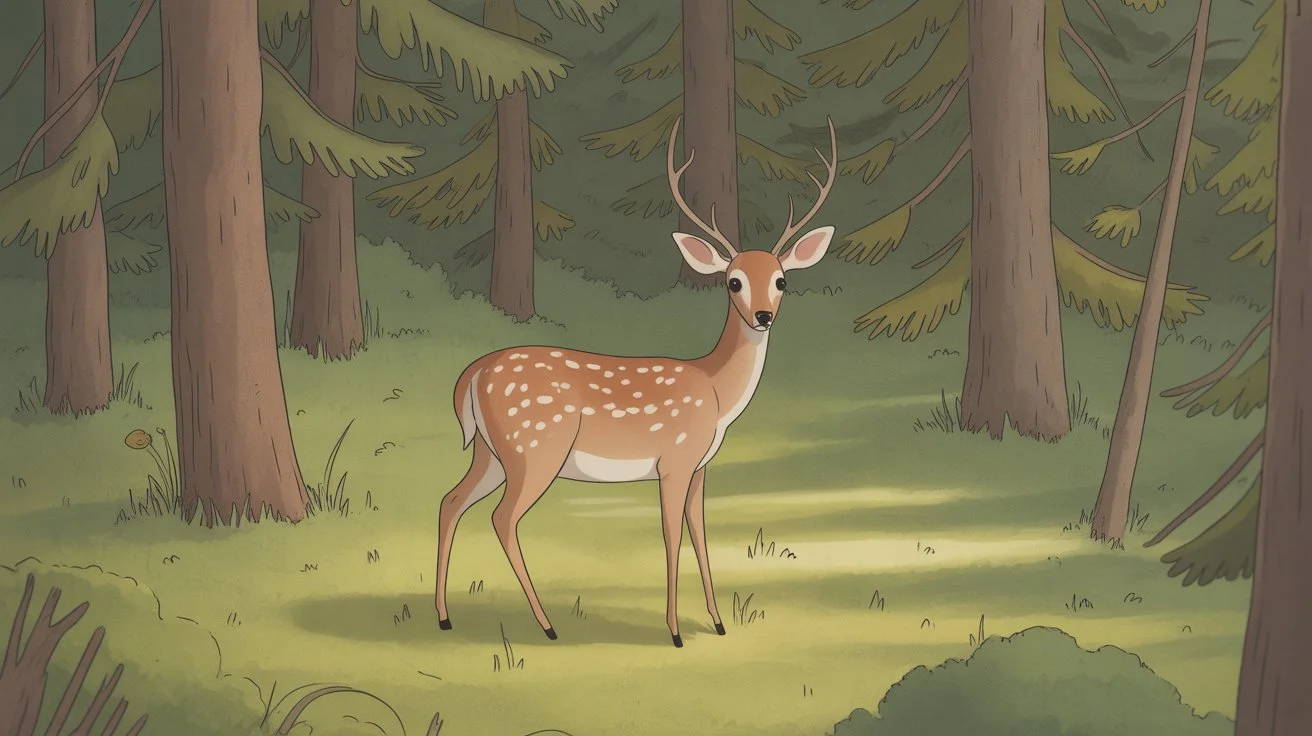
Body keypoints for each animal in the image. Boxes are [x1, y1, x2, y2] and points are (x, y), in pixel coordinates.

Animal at [434, 115, 838, 648]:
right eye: (733, 281)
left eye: (781, 280)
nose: (763, 316)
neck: (716, 393)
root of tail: (471, 374)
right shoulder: (673, 460)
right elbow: (671, 537)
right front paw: (675, 632)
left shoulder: (700, 466)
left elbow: (700, 534)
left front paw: (718, 622)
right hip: (535, 447)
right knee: (502, 518)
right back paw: (546, 624)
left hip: (490, 450)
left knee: (450, 501)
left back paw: (444, 616)